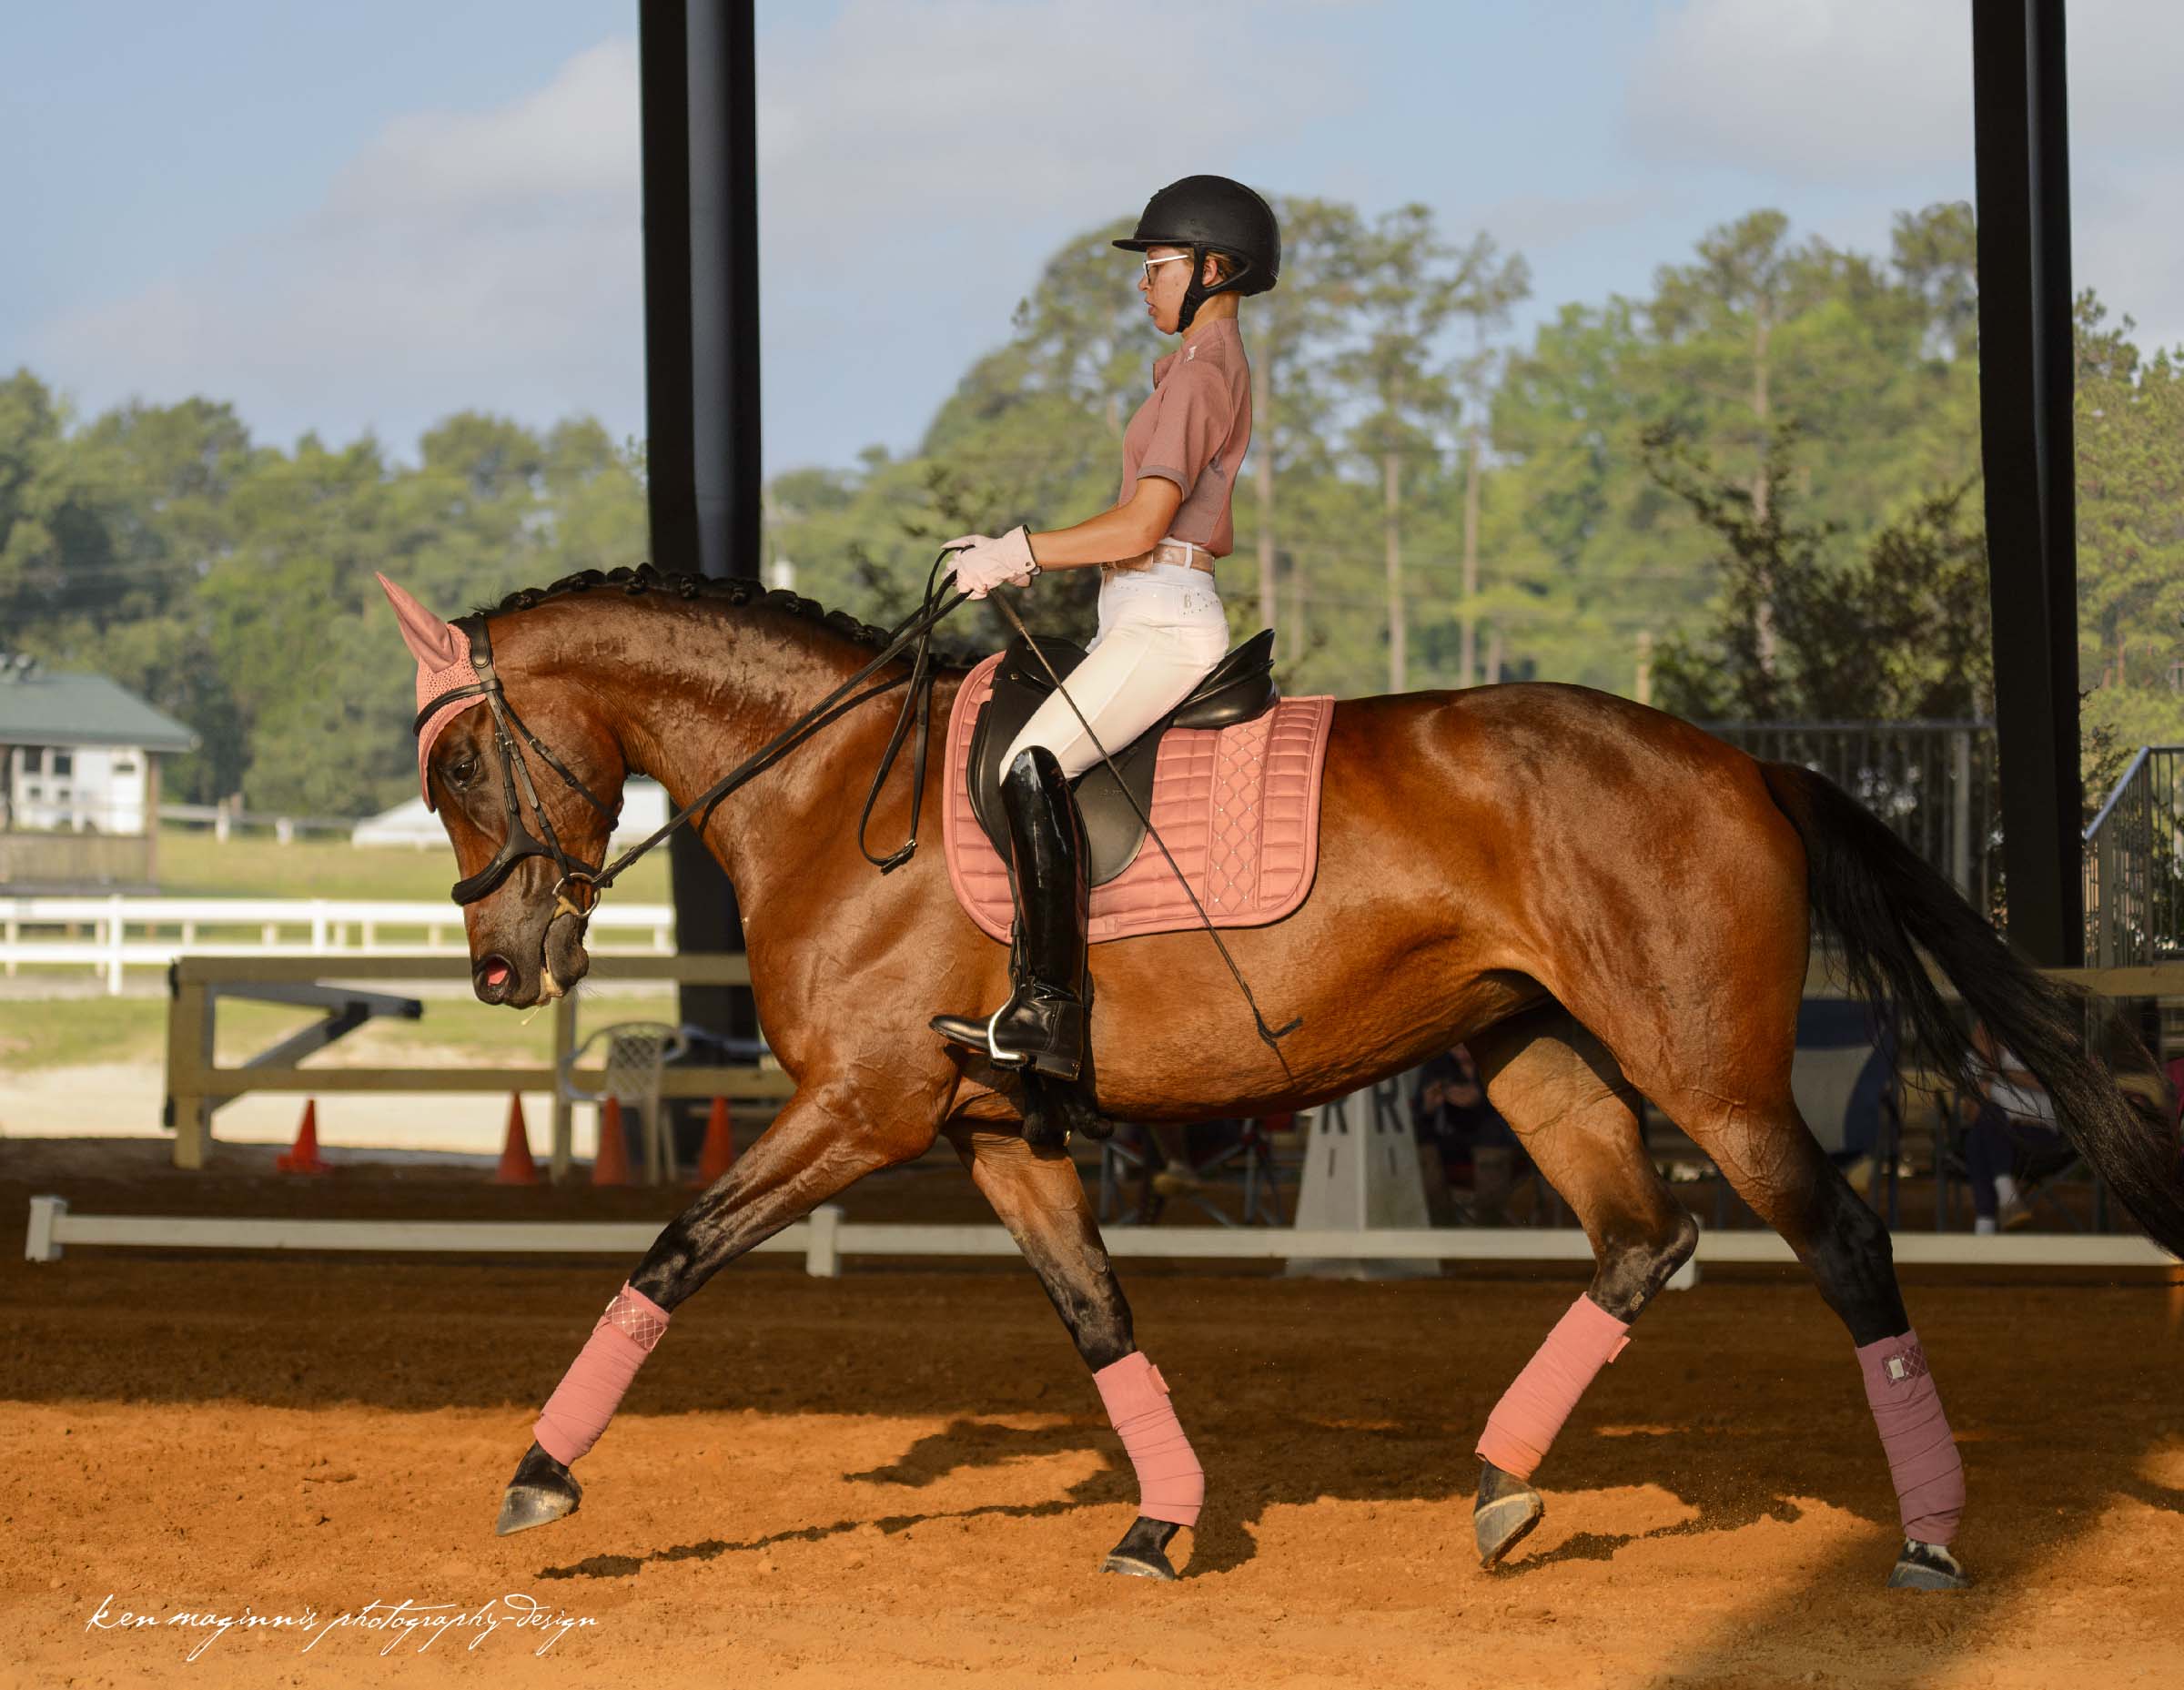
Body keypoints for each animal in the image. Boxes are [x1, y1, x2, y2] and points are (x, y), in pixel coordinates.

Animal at [384, 567, 2175, 1589]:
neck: (833, 789)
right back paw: (1503, 1487)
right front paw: (1164, 1521)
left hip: (1711, 1071)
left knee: (1847, 1249)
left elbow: (671, 1252)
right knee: (1639, 1240)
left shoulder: (863, 1111)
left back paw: (1931, 1534)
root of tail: (1744, 758)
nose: (501, 968)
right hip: (1533, 1051)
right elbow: (1101, 1318)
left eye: (461, 760)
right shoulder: (993, 1133)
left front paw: (539, 1475)